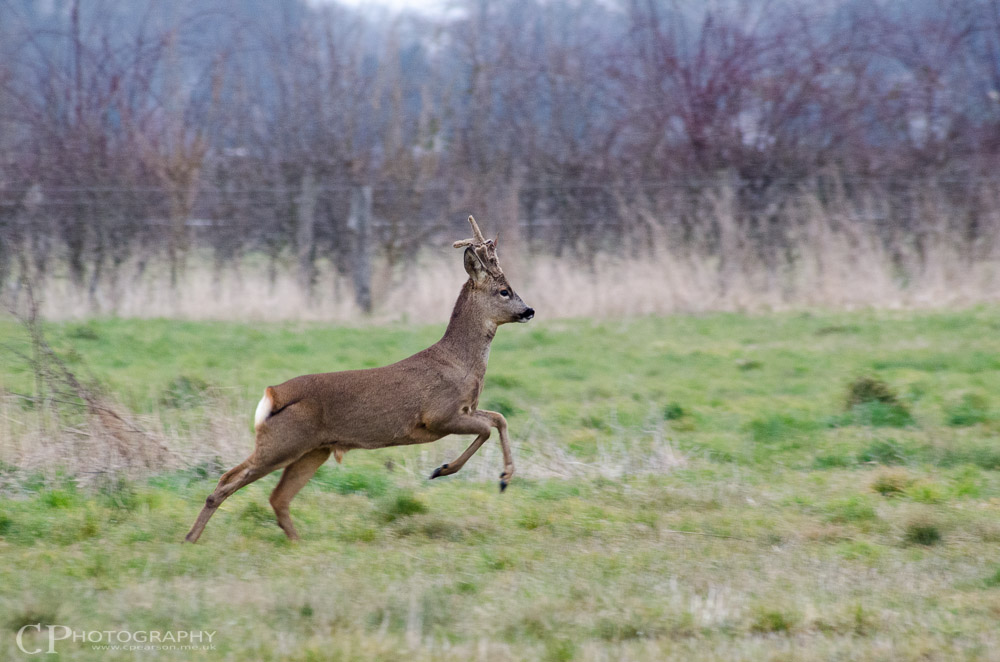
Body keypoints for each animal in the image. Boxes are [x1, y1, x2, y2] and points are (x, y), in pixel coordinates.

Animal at [185, 215, 536, 544]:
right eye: (504, 291)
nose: (529, 310)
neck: (460, 362)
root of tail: (274, 393)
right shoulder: (438, 416)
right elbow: (487, 428)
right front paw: (444, 469)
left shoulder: (466, 409)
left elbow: (499, 418)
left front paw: (504, 478)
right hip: (283, 442)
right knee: (228, 482)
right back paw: (191, 539)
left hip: (312, 450)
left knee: (276, 496)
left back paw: (297, 544)